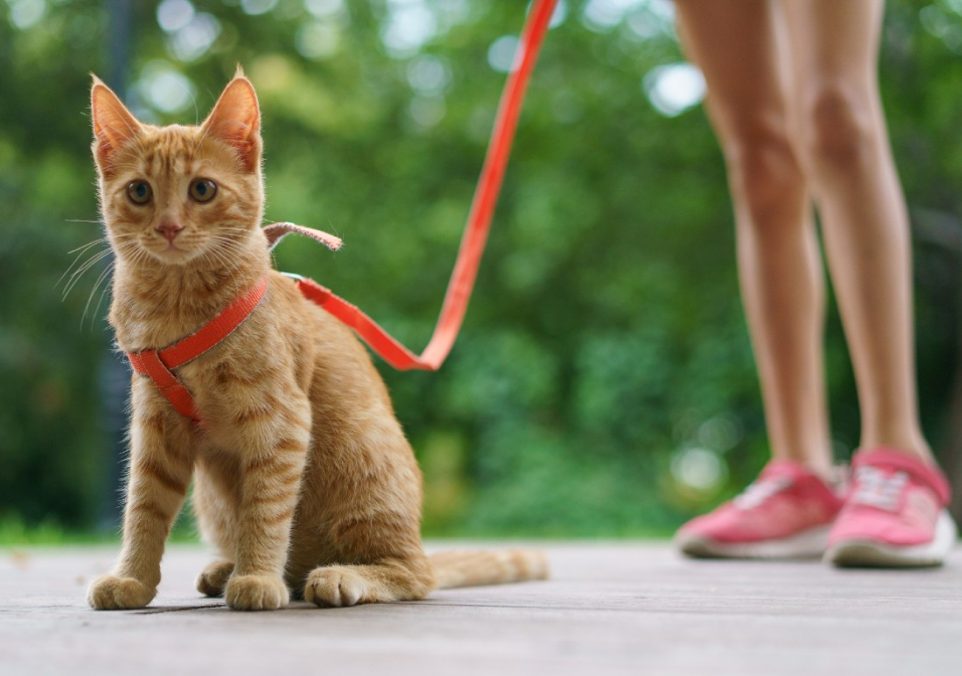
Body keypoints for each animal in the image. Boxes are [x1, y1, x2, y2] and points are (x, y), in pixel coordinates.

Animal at [90, 74, 548, 612]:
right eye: (139, 191)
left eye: (202, 189)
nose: (168, 226)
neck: (177, 308)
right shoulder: (156, 425)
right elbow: (144, 506)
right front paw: (132, 580)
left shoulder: (280, 420)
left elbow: (266, 509)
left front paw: (258, 577)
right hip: (212, 498)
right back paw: (227, 569)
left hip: (363, 466)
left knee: (413, 574)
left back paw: (336, 576)